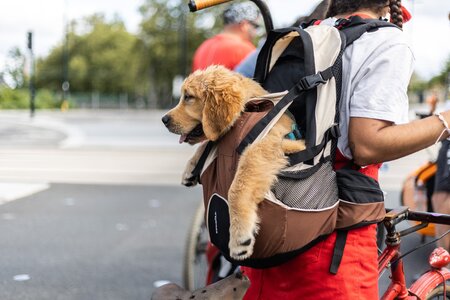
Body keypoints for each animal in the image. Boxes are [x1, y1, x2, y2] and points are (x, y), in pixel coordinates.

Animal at [162, 65, 306, 260]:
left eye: (188, 97)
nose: (164, 119)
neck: (248, 108)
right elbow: (209, 142)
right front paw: (190, 168)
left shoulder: (268, 145)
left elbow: (238, 187)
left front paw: (239, 236)